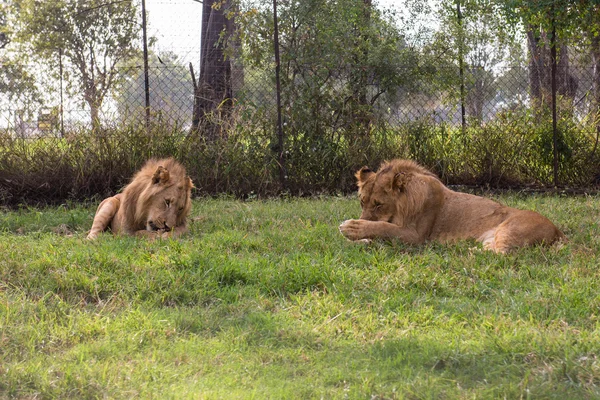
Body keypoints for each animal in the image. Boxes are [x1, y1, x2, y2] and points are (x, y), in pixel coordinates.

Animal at [340, 159, 564, 253]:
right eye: (362, 201)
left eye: (379, 205)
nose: (362, 218)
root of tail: (557, 230)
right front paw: (361, 240)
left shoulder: (417, 237)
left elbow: (384, 227)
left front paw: (352, 228)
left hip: (511, 228)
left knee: (503, 254)